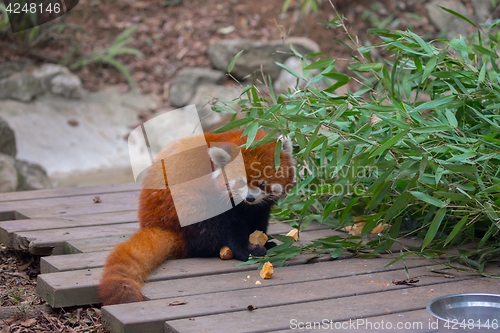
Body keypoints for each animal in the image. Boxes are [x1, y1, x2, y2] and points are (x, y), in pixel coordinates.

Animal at [98, 129, 294, 304]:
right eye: (240, 182)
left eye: (262, 184)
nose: (250, 198)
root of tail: (158, 225)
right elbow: (232, 228)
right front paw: (247, 250)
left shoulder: (258, 207)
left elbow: (258, 219)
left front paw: (264, 239)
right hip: (187, 209)